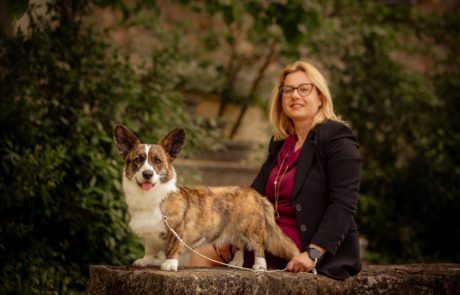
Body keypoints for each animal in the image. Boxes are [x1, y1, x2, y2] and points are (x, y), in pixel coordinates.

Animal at [113, 123, 300, 272]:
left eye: (157, 161)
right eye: (138, 159)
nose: (147, 174)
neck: (152, 198)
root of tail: (254, 193)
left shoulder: (178, 229)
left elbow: (172, 248)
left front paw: (169, 263)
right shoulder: (149, 235)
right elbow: (150, 249)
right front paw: (146, 261)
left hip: (251, 229)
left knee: (258, 246)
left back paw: (260, 266)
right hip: (236, 232)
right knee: (239, 246)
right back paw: (237, 263)